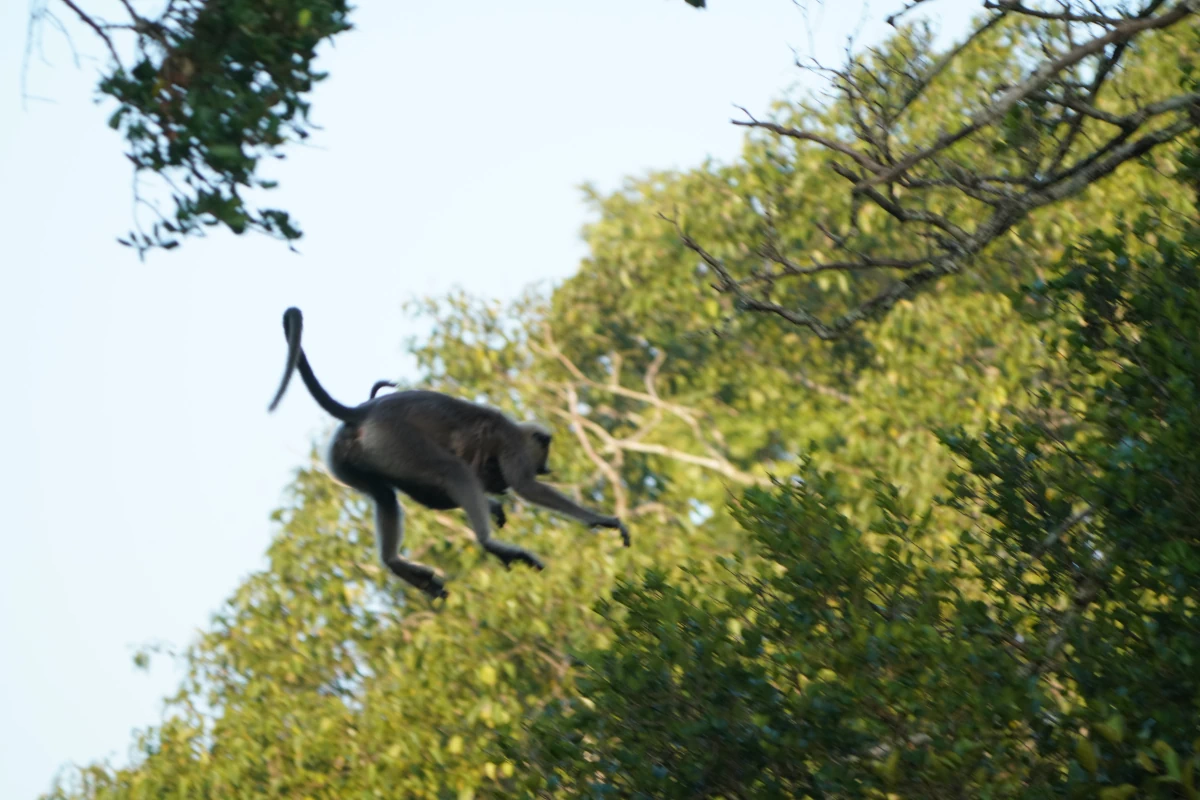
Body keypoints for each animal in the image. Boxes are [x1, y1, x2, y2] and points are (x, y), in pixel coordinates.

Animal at [270, 309, 628, 597]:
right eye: (541, 461)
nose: (547, 469)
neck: (511, 427)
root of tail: (363, 413)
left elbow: (433, 498)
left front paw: (493, 504)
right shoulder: (511, 444)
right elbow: (525, 487)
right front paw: (602, 520)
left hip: (347, 458)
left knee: (387, 495)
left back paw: (394, 562)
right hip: (396, 438)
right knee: (452, 470)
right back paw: (489, 544)